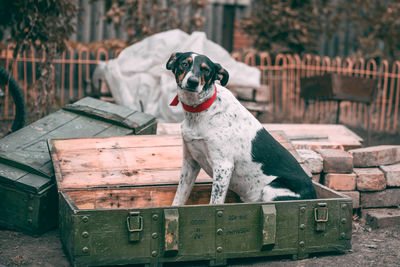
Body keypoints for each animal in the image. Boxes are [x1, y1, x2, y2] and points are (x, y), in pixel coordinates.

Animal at [166, 52, 316, 207]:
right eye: (184, 64)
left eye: (206, 70)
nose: (193, 81)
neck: (199, 111)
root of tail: (314, 195)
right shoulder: (190, 162)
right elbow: (179, 198)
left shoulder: (223, 167)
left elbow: (214, 203)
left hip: (270, 190)